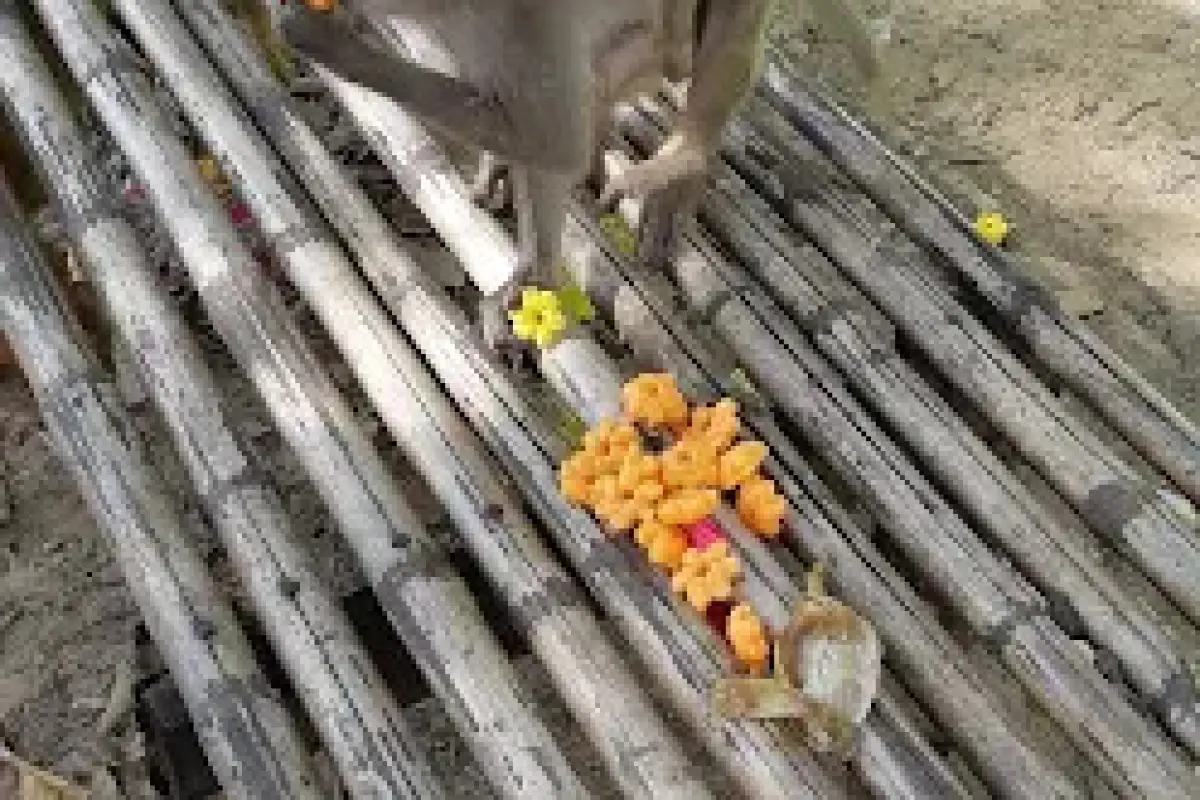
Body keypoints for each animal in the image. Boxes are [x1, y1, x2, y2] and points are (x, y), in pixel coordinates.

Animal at [277, 1, 882, 364]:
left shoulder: (522, 19)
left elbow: (552, 139)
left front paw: (330, 45)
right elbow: (536, 143)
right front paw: (531, 271)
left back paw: (679, 166)